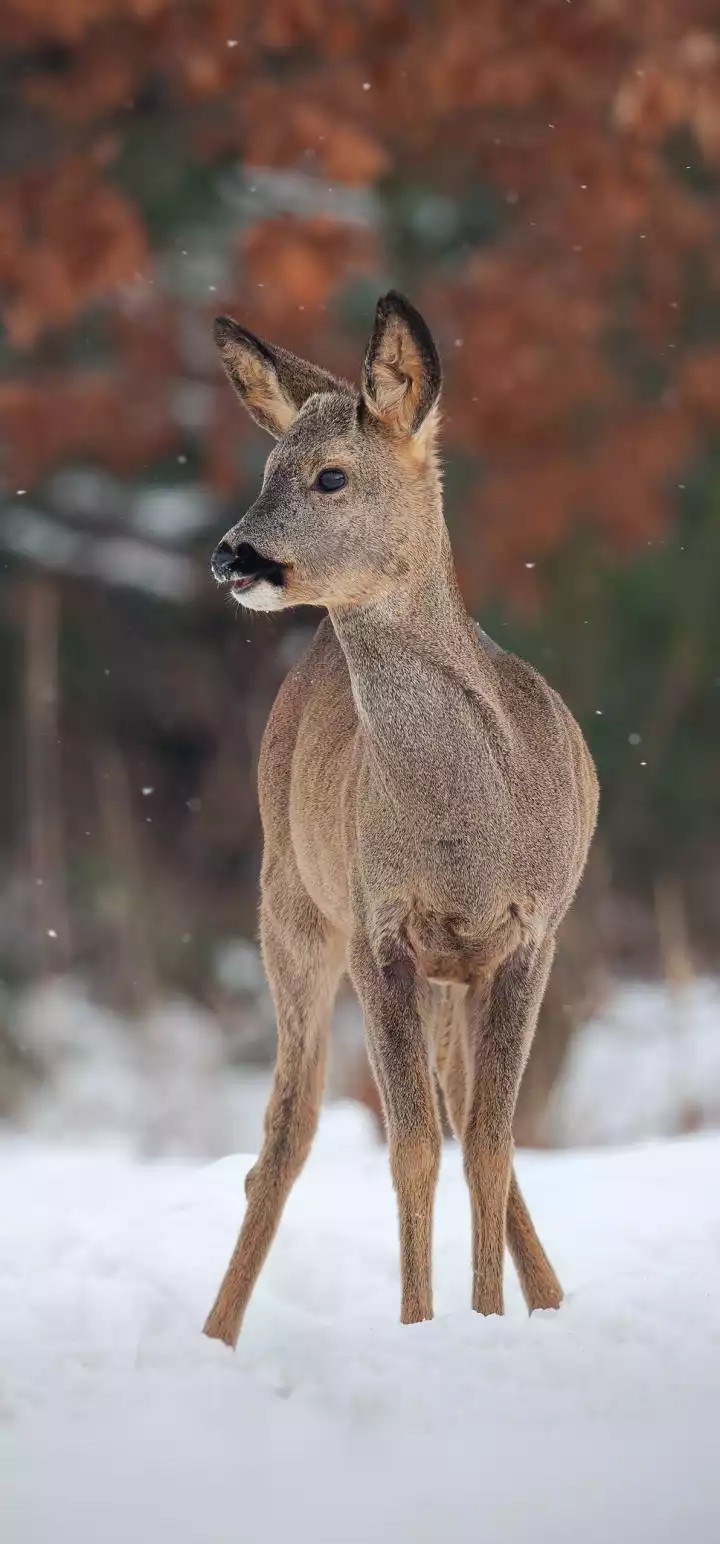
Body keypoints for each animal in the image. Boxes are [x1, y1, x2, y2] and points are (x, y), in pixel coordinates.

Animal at [203, 291, 598, 1347]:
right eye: (265, 469)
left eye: (330, 475)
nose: (231, 554)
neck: (468, 829)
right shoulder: (378, 928)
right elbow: (411, 1146)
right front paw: (423, 1327)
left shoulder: (532, 932)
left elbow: (489, 1144)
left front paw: (488, 1319)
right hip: (292, 903)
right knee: (287, 1127)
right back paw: (216, 1333)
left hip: (443, 967)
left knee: (461, 1105)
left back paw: (550, 1300)